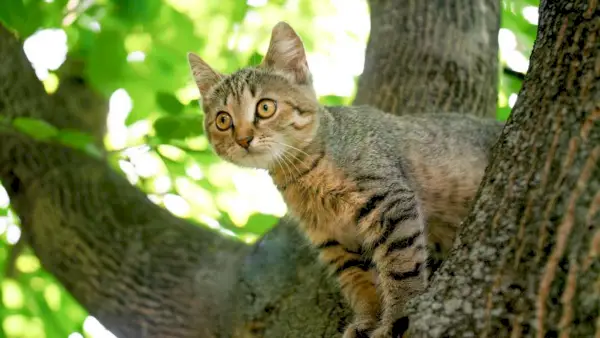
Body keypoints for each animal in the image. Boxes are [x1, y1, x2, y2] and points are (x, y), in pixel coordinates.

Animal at [186, 21, 502, 338]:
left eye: (265, 107)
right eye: (223, 120)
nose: (243, 139)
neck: (305, 175)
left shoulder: (389, 201)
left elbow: (401, 264)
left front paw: (396, 316)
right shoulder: (332, 239)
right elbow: (358, 282)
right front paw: (367, 320)